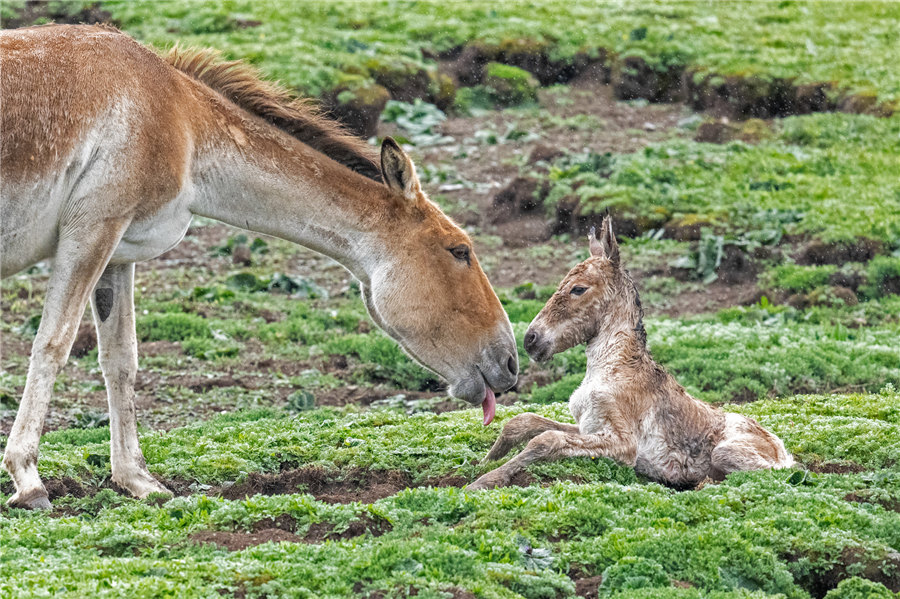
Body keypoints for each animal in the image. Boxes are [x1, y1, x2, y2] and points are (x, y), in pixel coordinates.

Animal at [472, 218, 796, 490]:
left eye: (578, 289)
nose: (531, 339)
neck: (611, 368)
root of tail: (783, 450)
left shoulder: (623, 444)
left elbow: (546, 440)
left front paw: (485, 480)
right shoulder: (587, 426)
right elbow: (524, 423)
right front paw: (483, 462)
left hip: (728, 452)